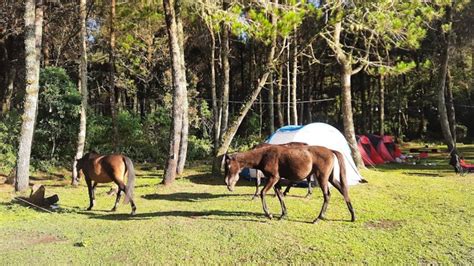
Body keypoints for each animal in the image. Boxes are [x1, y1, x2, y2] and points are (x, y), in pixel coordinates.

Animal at [224, 143, 354, 222]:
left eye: (229, 166)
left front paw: (269, 214)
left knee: (327, 196)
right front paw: (283, 214)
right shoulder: (276, 181)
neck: (264, 155)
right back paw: (353, 216)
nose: (228, 184)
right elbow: (280, 196)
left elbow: (262, 193)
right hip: (330, 178)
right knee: (343, 191)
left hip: (322, 178)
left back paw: (318, 218)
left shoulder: (273, 178)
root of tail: (330, 151)